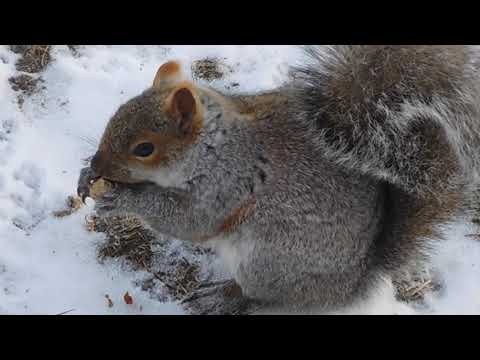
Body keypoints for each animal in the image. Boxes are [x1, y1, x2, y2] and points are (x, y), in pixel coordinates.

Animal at [77, 46, 480, 314]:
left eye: (144, 148)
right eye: (115, 115)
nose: (97, 162)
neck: (214, 144)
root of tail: (352, 286)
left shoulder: (228, 183)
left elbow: (190, 221)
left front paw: (124, 200)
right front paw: (85, 178)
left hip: (266, 261)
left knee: (265, 297)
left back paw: (223, 297)